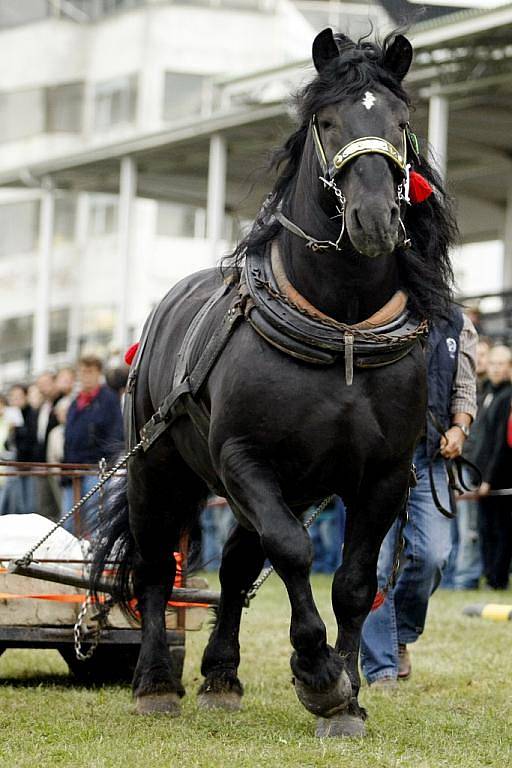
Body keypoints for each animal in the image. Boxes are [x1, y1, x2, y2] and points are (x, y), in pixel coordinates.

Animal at [91, 30, 452, 736]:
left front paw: (348, 699)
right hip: (160, 466)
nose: (374, 220)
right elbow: (291, 550)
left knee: (235, 567)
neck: (341, 326)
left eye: (402, 121)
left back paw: (221, 676)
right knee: (154, 566)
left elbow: (354, 584)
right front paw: (317, 675)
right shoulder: (245, 459)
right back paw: (155, 682)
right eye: (328, 120)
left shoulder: (384, 475)